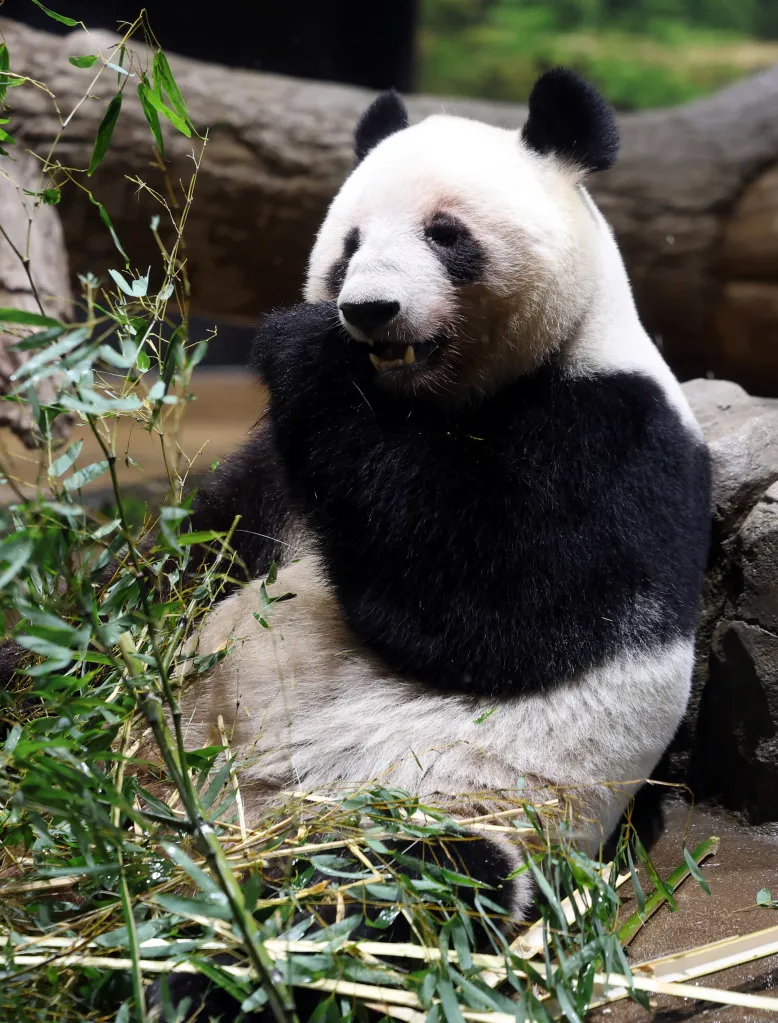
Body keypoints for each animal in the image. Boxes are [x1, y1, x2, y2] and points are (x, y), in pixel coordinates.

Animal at [156, 69, 711, 1016]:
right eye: (348, 243)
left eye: (446, 235)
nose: (368, 309)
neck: (427, 401)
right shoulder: (276, 475)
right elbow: (205, 548)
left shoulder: (614, 431)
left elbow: (496, 610)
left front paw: (302, 343)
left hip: (438, 800)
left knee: (378, 881)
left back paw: (206, 949)